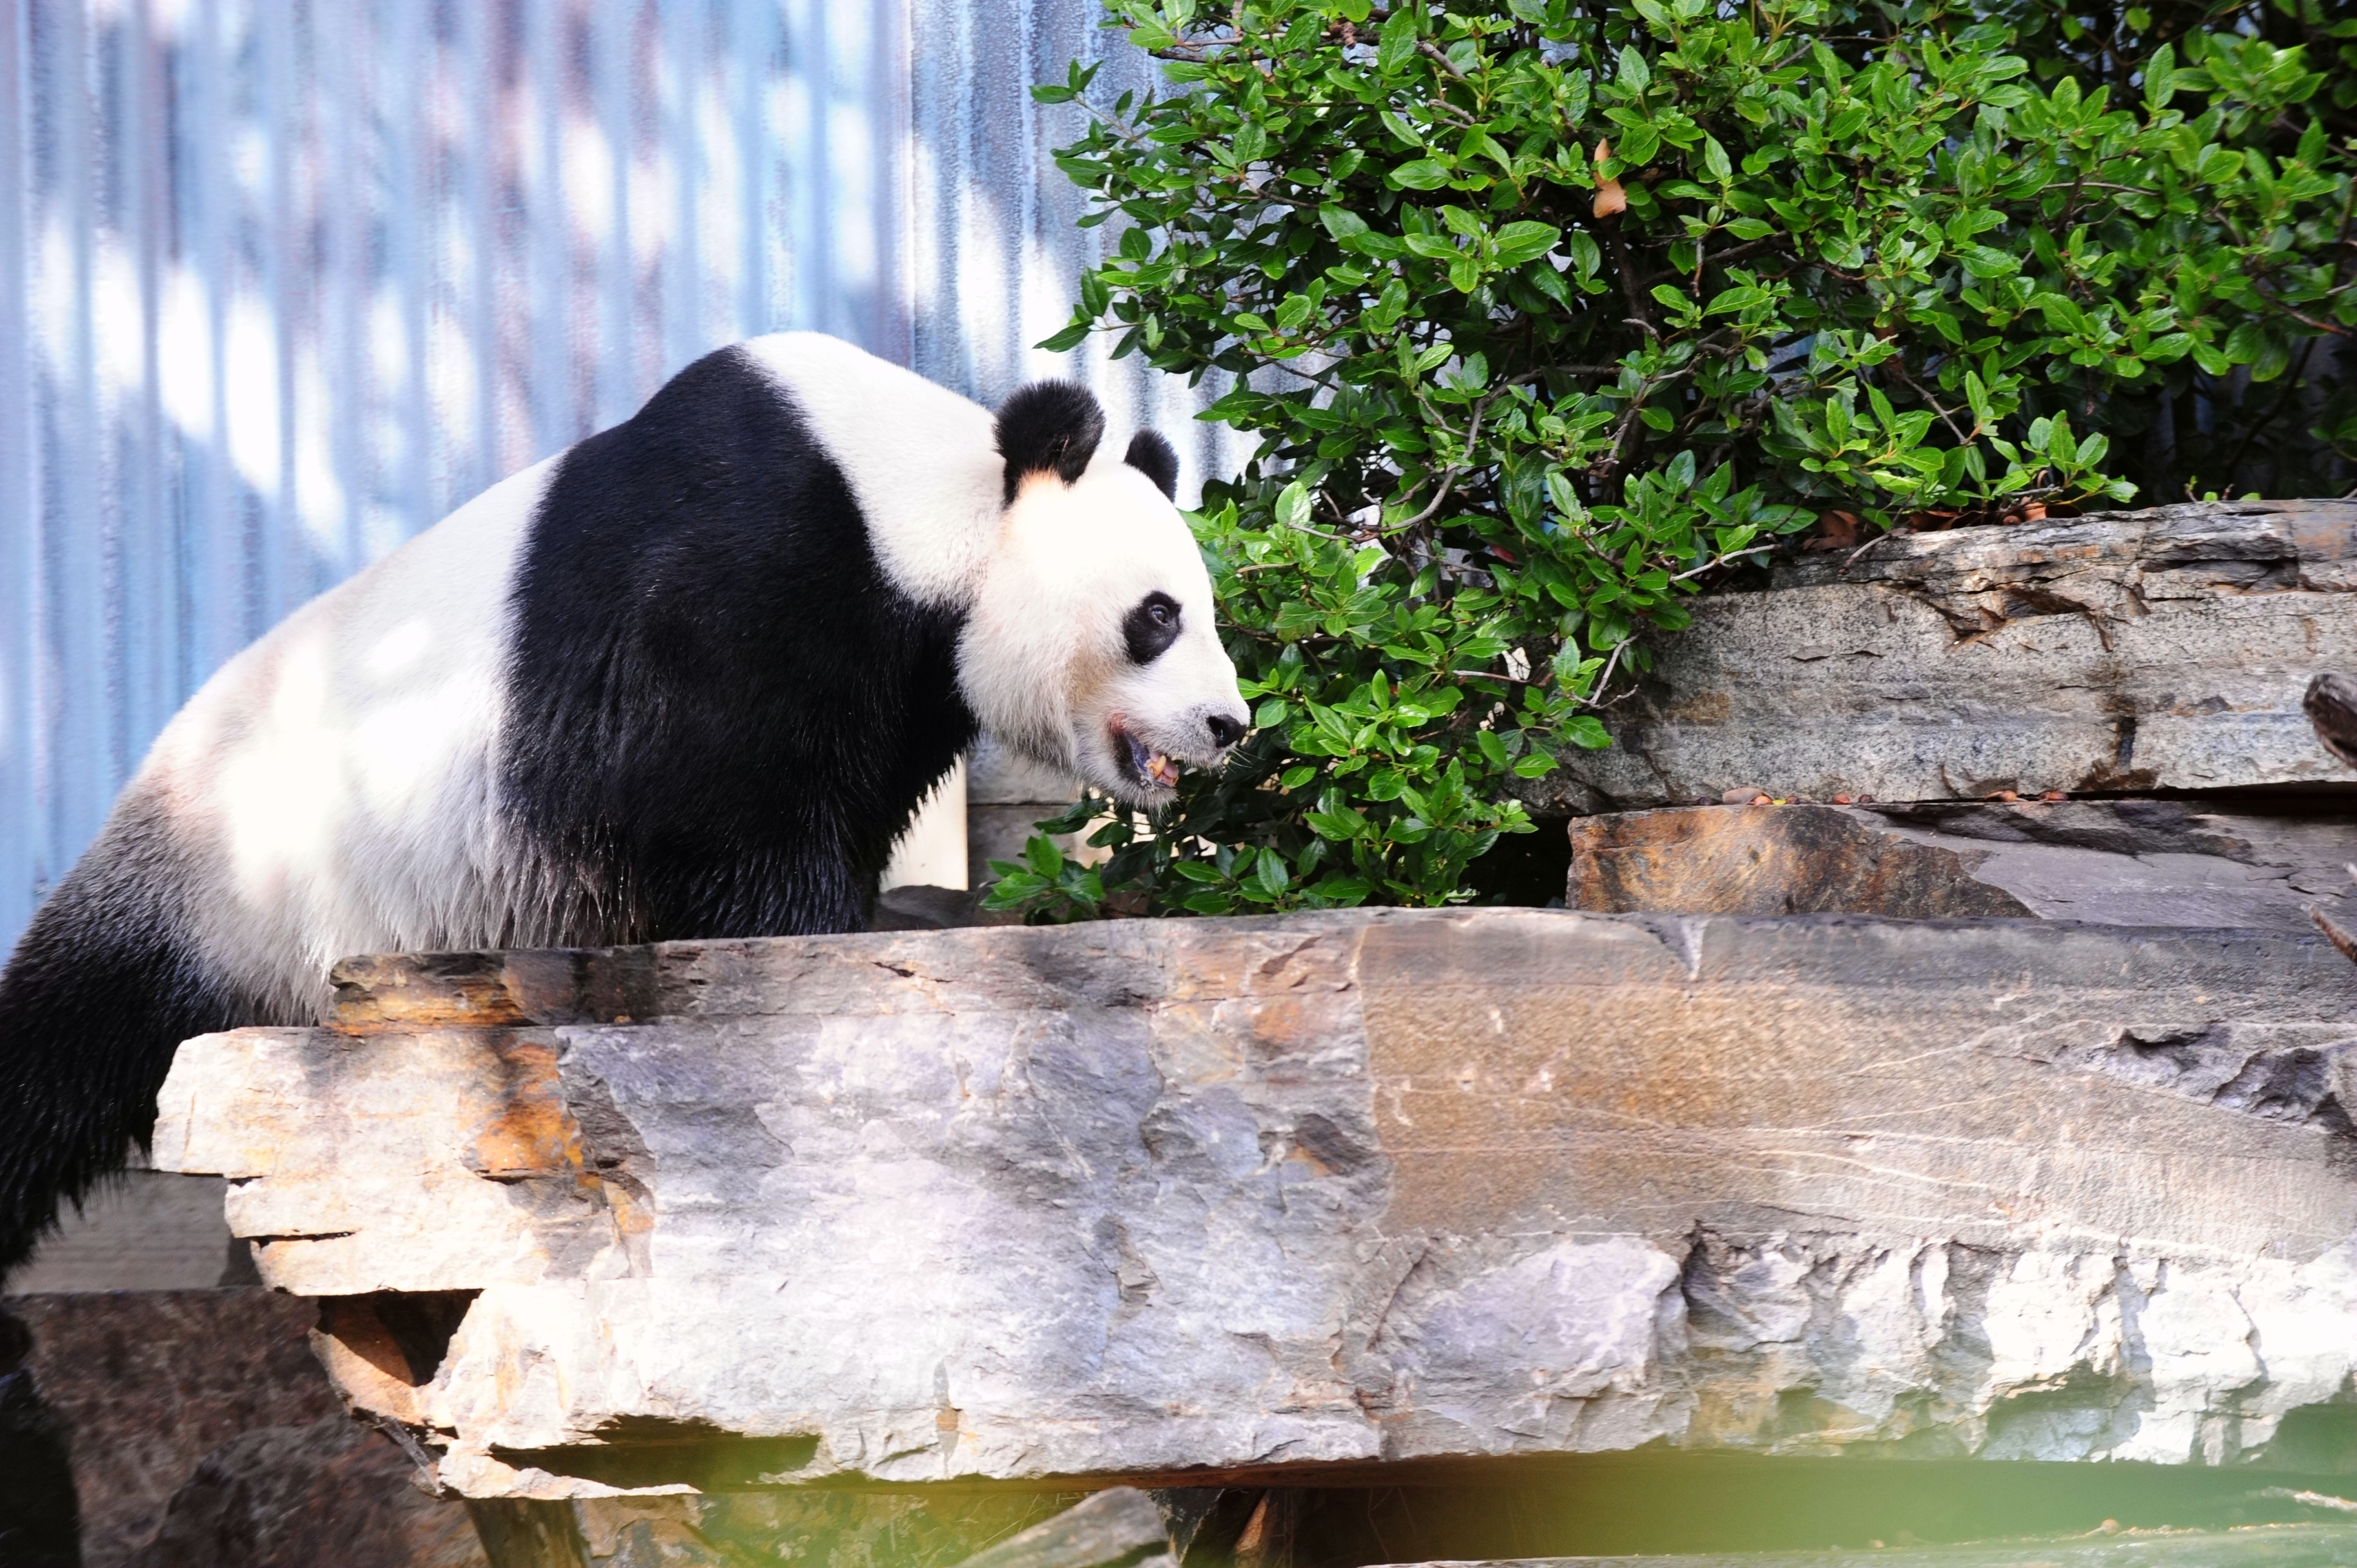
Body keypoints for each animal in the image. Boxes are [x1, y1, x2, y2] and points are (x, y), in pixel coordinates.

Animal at [0, 330, 1254, 1273]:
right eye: (1158, 616)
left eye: (1200, 608)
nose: (1228, 725)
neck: (917, 501)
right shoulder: (733, 586)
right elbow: (729, 817)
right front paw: (819, 943)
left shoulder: (897, 683)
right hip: (234, 879)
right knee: (61, 1042)